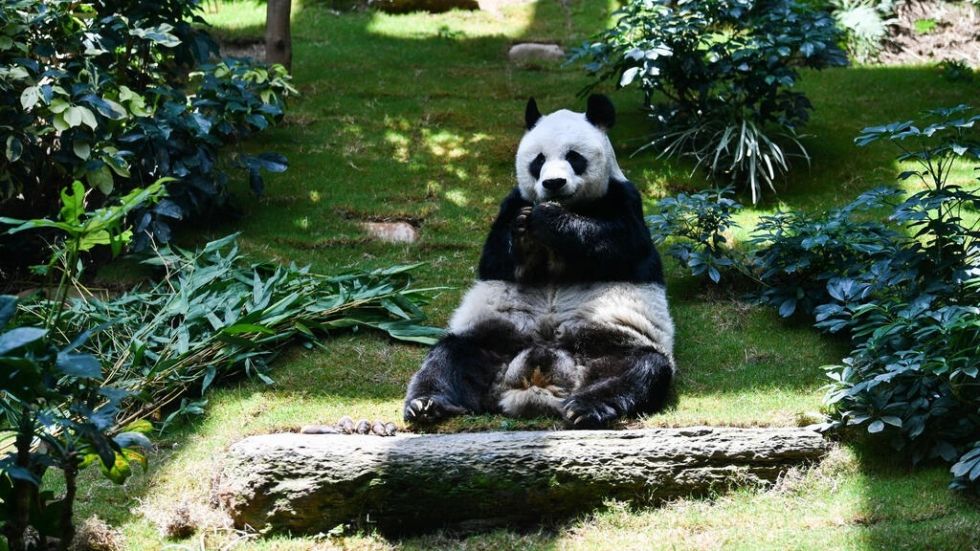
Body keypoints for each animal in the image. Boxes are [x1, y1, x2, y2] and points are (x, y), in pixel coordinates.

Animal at [403, 94, 674, 428]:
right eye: (539, 160)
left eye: (574, 157)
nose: (554, 183)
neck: (569, 204)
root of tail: (534, 385)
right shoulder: (512, 203)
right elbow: (496, 258)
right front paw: (524, 235)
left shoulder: (624, 199)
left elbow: (619, 245)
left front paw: (549, 220)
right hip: (494, 340)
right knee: (449, 357)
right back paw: (426, 405)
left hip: (611, 341)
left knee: (639, 368)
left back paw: (586, 407)